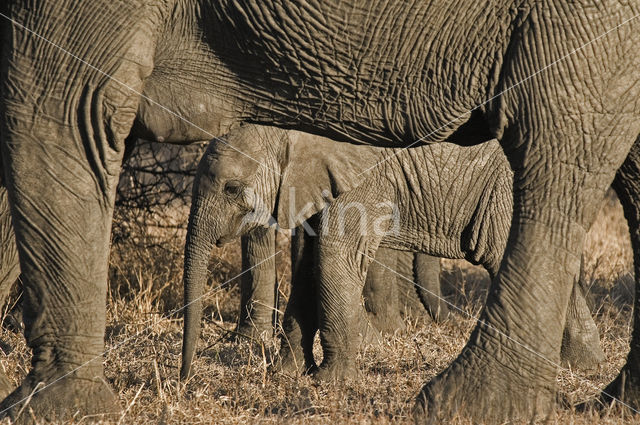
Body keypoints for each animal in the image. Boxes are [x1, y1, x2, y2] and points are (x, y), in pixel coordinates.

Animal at [181, 124, 604, 380]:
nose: (184, 379)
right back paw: (581, 364)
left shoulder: (359, 180)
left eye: (232, 189)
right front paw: (288, 375)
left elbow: (333, 256)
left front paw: (329, 383)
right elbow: (305, 262)